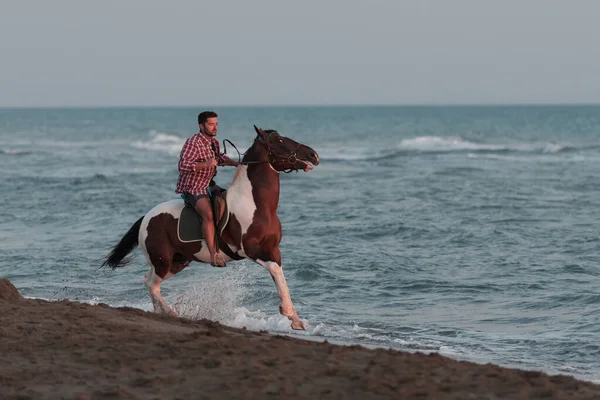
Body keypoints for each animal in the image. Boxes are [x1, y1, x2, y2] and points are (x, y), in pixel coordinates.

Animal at [102, 126, 318, 330]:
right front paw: (289, 314)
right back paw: (170, 313)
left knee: (149, 280)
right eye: (280, 141)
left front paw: (296, 319)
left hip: (178, 261)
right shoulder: (252, 250)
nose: (313, 155)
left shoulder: (273, 249)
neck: (254, 203)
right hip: (163, 261)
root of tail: (146, 218)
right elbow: (276, 273)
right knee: (151, 284)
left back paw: (160, 312)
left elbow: (281, 278)